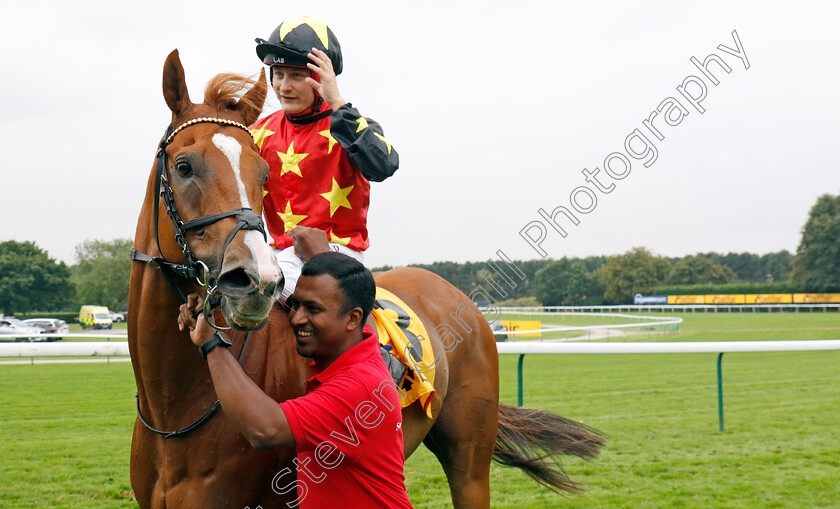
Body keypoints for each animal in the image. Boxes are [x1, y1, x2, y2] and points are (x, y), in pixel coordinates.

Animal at [128, 48, 604, 508]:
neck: (174, 410)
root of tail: (462, 300)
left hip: (469, 457)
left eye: (261, 174)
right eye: (184, 166)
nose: (257, 282)